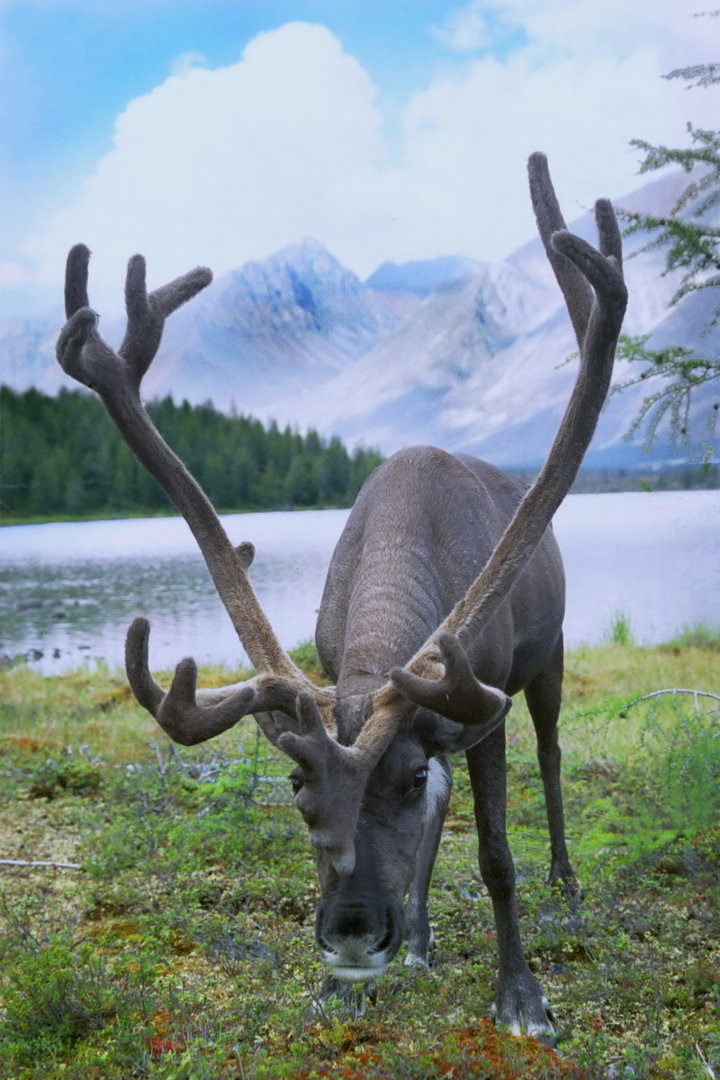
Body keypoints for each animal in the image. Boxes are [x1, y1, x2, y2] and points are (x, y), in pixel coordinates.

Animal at [56, 153, 626, 1044]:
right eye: (297, 787)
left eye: (405, 778)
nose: (354, 931)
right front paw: (342, 986)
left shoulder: (480, 696)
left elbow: (496, 852)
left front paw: (523, 998)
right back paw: (420, 932)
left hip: (551, 659)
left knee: (553, 754)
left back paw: (563, 887)